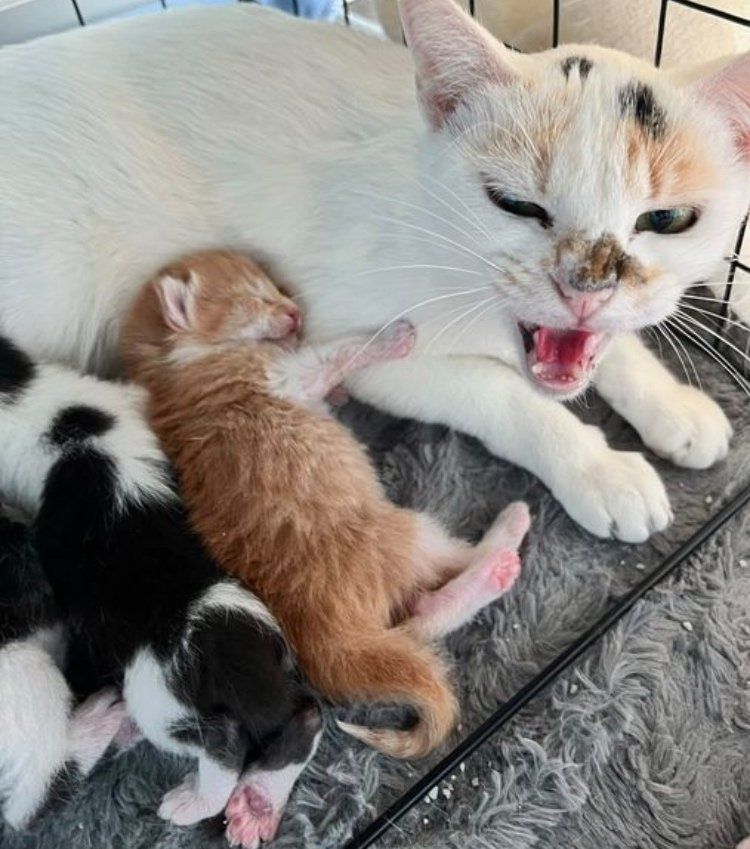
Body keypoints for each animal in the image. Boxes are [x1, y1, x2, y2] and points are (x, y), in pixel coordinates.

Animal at [0, 0, 748, 540]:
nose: (584, 288)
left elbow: (615, 345)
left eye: (667, 219)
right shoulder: (353, 337)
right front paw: (599, 469)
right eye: (515, 205)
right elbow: (505, 395)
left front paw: (671, 402)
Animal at [122, 250, 528, 756]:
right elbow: (334, 354)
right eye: (256, 297)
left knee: (417, 619)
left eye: (275, 288)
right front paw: (391, 338)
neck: (171, 368)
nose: (295, 313)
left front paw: (340, 390)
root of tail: (328, 645)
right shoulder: (277, 374)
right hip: (399, 532)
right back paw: (503, 547)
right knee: (447, 570)